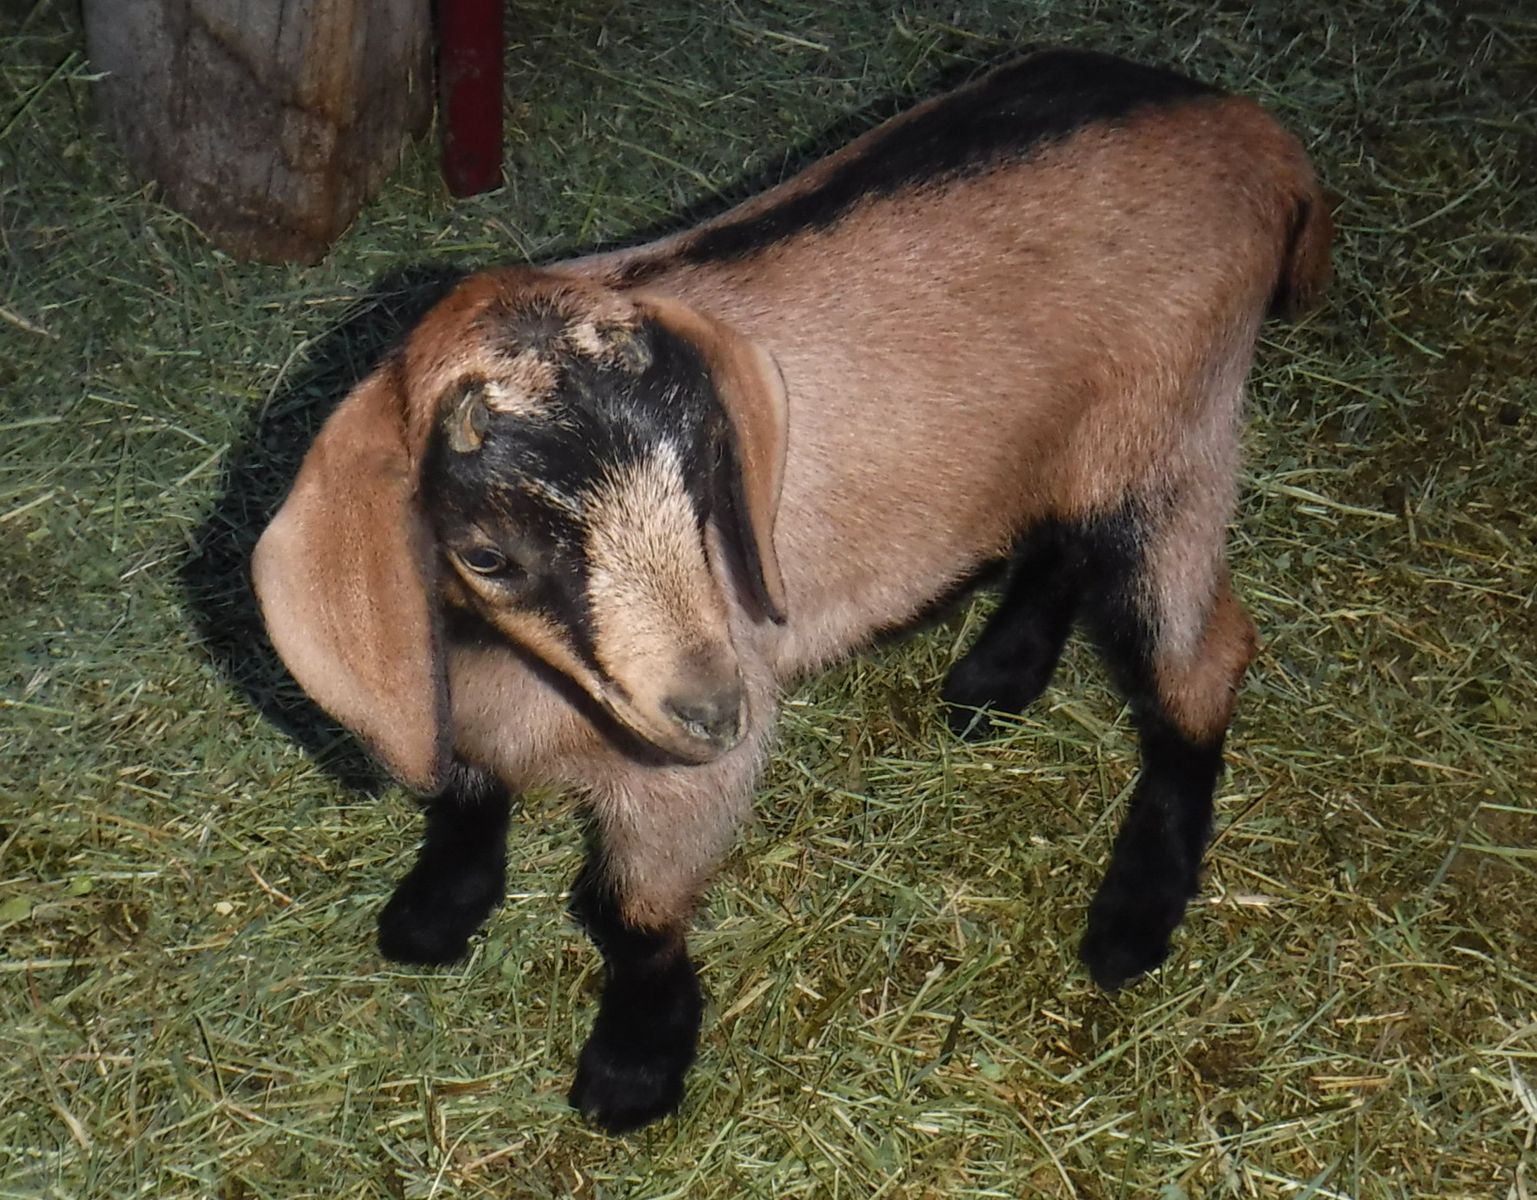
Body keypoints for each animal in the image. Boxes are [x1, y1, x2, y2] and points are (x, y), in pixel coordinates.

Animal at [251, 48, 1331, 1133]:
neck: (503, 667)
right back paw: (996, 678)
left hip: (1178, 430)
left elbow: (630, 913)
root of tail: (1255, 133)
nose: (713, 711)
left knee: (1204, 652)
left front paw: (634, 1070)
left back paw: (1133, 917)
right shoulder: (462, 702)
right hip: (1086, 441)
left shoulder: (684, 775)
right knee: (1064, 540)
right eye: (487, 557)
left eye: (700, 483)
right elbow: (466, 796)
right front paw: (432, 916)